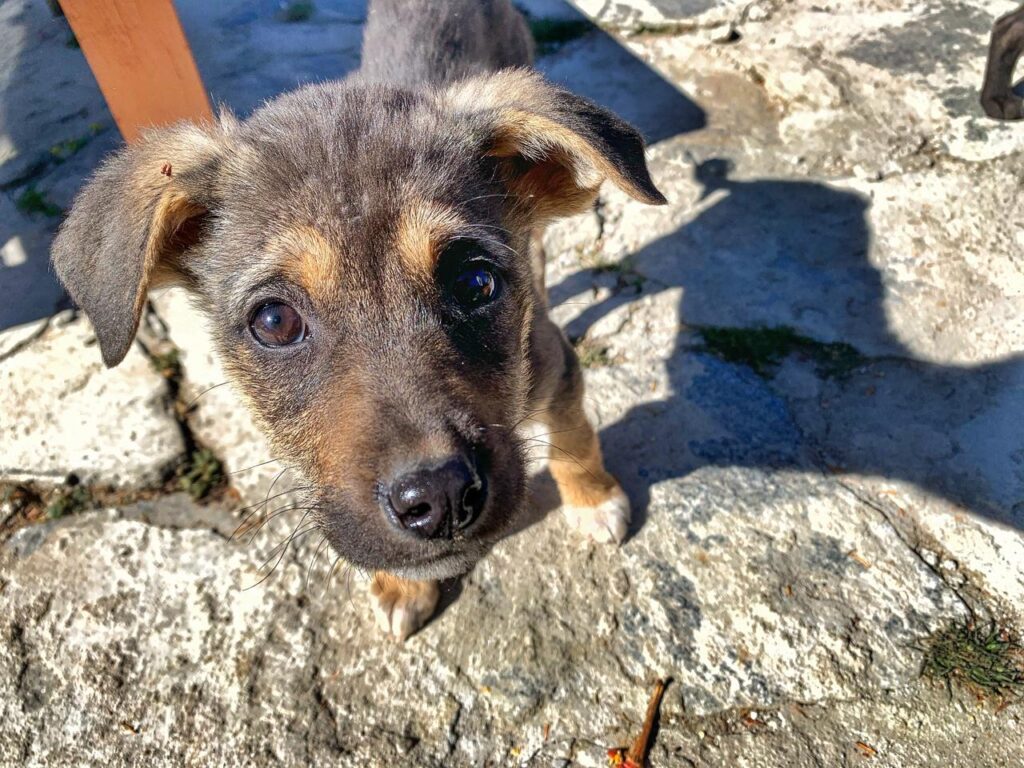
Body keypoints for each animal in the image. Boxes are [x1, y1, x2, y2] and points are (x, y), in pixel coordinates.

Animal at [51, 0, 667, 638]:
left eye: (477, 283)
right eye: (275, 321)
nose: (440, 499)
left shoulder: (553, 362)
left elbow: (574, 435)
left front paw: (594, 498)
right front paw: (404, 584)